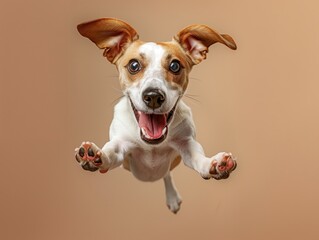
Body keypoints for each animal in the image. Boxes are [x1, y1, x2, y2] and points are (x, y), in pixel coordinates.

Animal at [75, 18, 238, 214]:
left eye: (175, 65)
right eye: (134, 65)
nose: (153, 96)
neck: (151, 145)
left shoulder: (186, 145)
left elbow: (198, 158)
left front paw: (214, 165)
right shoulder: (121, 145)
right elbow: (110, 152)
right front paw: (94, 156)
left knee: (166, 175)